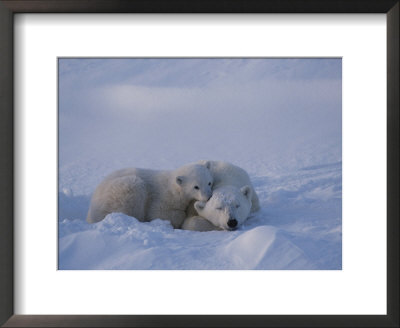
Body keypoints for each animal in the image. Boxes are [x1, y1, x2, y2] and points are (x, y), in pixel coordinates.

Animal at [86, 163, 214, 229]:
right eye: (196, 187)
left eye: (209, 182)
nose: (208, 197)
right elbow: (157, 213)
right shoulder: (162, 197)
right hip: (120, 192)